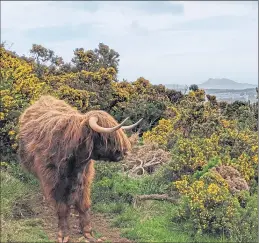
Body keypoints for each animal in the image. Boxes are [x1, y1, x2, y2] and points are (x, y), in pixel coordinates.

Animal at [17, 95, 144, 243]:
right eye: (107, 138)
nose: (124, 152)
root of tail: (45, 98)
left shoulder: (84, 178)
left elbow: (84, 205)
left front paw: (88, 232)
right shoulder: (54, 181)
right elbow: (62, 208)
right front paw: (63, 234)